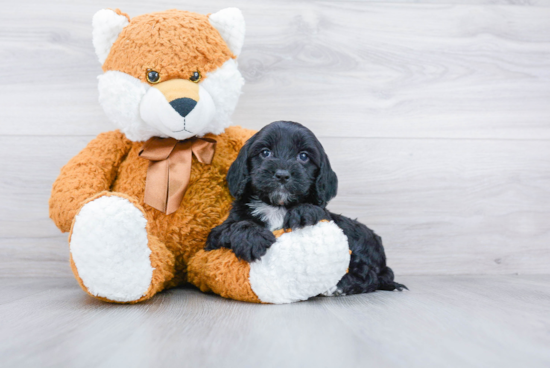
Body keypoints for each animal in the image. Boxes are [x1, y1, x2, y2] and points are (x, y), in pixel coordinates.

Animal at [205, 121, 408, 296]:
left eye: (303, 156)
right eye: (265, 153)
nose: (282, 174)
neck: (277, 206)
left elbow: (315, 210)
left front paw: (303, 211)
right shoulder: (214, 237)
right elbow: (234, 226)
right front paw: (252, 238)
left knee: (371, 275)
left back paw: (340, 286)